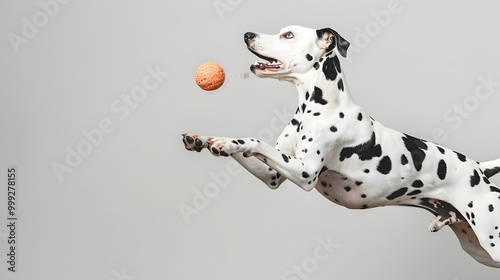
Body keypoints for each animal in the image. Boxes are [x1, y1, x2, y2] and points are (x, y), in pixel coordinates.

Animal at [183, 25, 500, 266]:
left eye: (288, 35)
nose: (248, 34)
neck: (319, 105)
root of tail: (479, 170)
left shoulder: (305, 172)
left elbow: (254, 140)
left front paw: (222, 142)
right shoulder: (273, 175)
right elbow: (246, 146)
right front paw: (207, 140)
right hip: (476, 248)